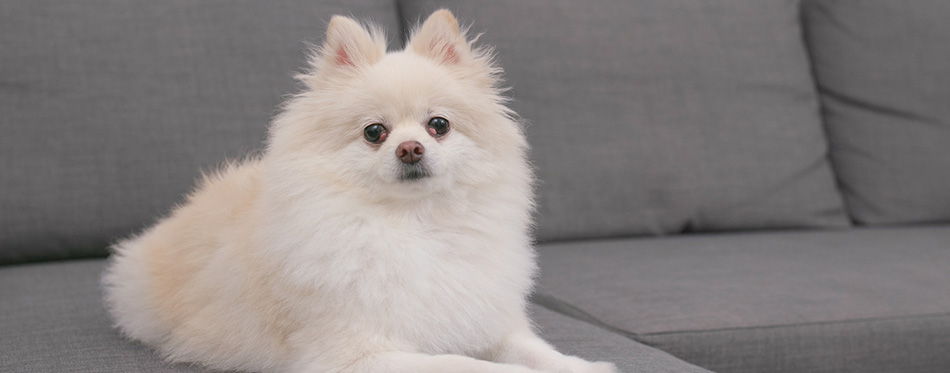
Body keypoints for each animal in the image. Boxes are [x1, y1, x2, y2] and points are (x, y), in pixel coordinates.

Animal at [102, 8, 616, 372]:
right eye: (374, 132)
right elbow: (470, 366)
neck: (416, 226)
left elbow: (534, 351)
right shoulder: (358, 353)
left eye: (439, 125)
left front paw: (584, 366)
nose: (410, 148)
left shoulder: (487, 319)